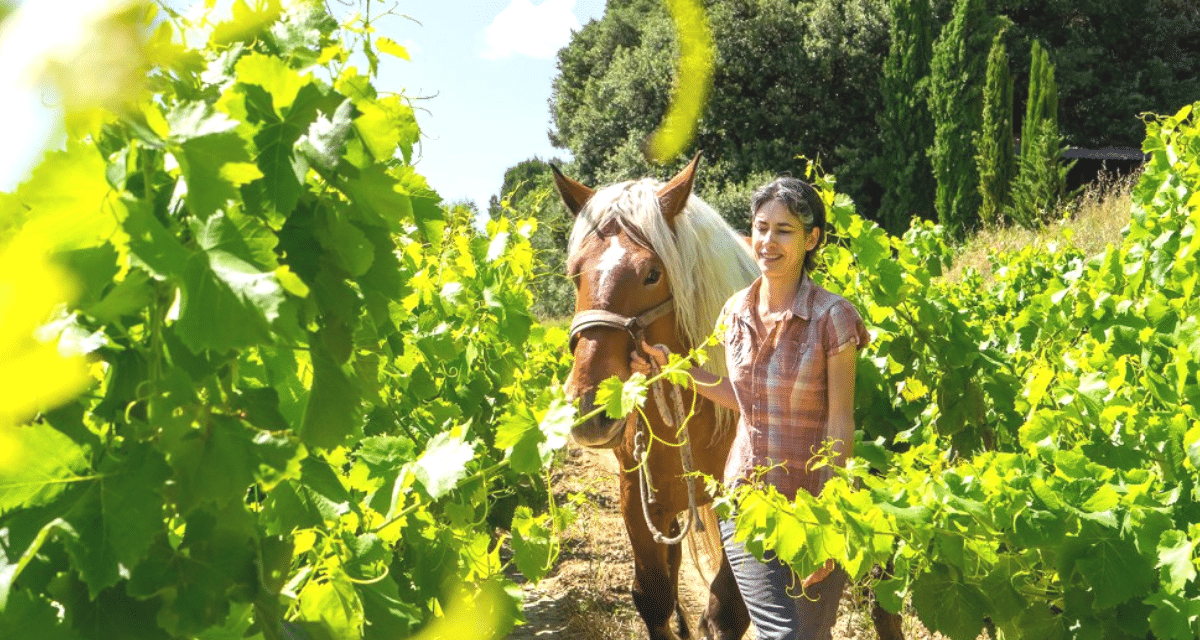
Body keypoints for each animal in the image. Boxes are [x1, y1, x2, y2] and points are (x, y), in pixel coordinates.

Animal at [554, 156, 758, 638]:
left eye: (652, 274)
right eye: (576, 275)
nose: (589, 409)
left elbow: (726, 612)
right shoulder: (636, 496)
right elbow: (653, 597)